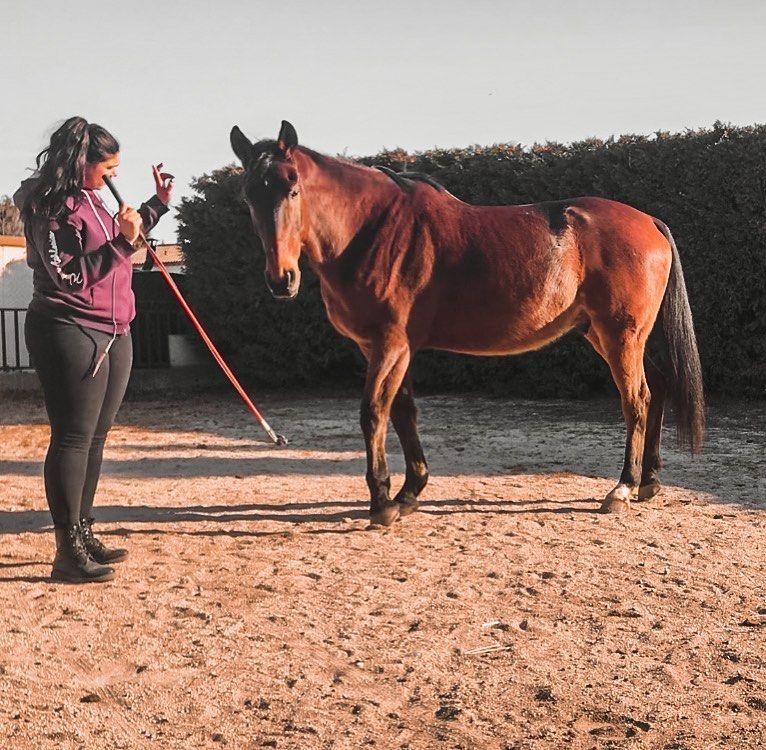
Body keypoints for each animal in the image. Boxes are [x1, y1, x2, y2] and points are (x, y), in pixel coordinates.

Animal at [230, 120, 704, 527]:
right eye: (249, 196)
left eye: (293, 190)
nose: (281, 280)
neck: (371, 231)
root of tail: (650, 222)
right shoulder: (389, 347)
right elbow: (403, 411)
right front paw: (409, 492)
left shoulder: (388, 344)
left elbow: (373, 413)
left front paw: (382, 503)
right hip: (609, 335)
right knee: (659, 386)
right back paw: (649, 482)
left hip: (620, 334)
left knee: (637, 399)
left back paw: (622, 488)